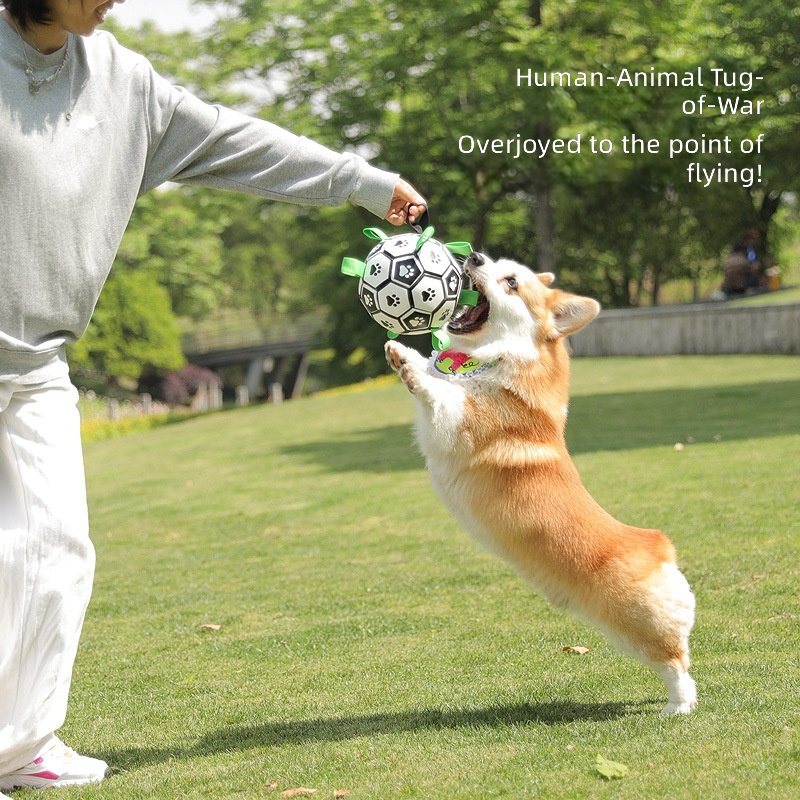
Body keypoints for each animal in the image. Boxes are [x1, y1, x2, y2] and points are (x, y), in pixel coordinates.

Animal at [385, 252, 697, 714]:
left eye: (511, 282)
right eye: (492, 262)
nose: (473, 255)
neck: (497, 358)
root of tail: (658, 548)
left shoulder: (458, 424)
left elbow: (442, 395)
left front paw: (412, 369)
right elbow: (436, 372)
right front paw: (404, 352)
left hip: (638, 624)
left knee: (677, 662)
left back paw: (678, 707)